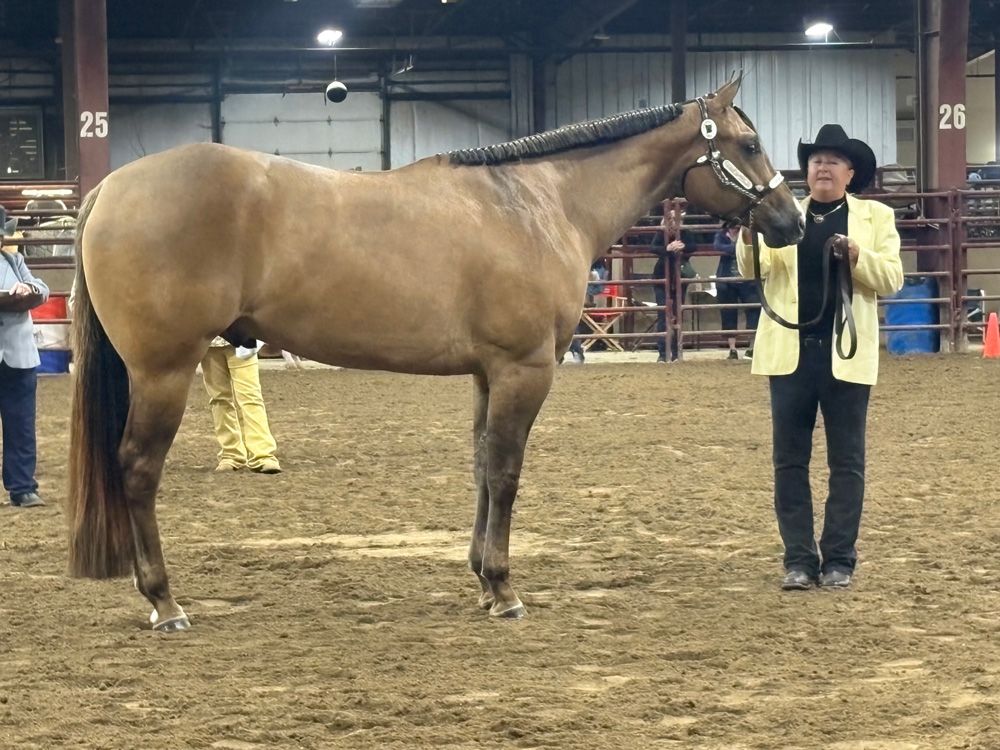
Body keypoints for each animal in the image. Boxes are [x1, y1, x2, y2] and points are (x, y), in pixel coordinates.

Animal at [66, 75, 804, 632]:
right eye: (749, 143)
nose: (791, 222)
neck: (537, 203)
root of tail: (109, 188)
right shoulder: (523, 370)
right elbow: (506, 473)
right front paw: (504, 590)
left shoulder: (487, 374)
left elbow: (481, 467)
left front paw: (481, 579)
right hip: (162, 372)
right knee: (137, 470)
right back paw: (164, 602)